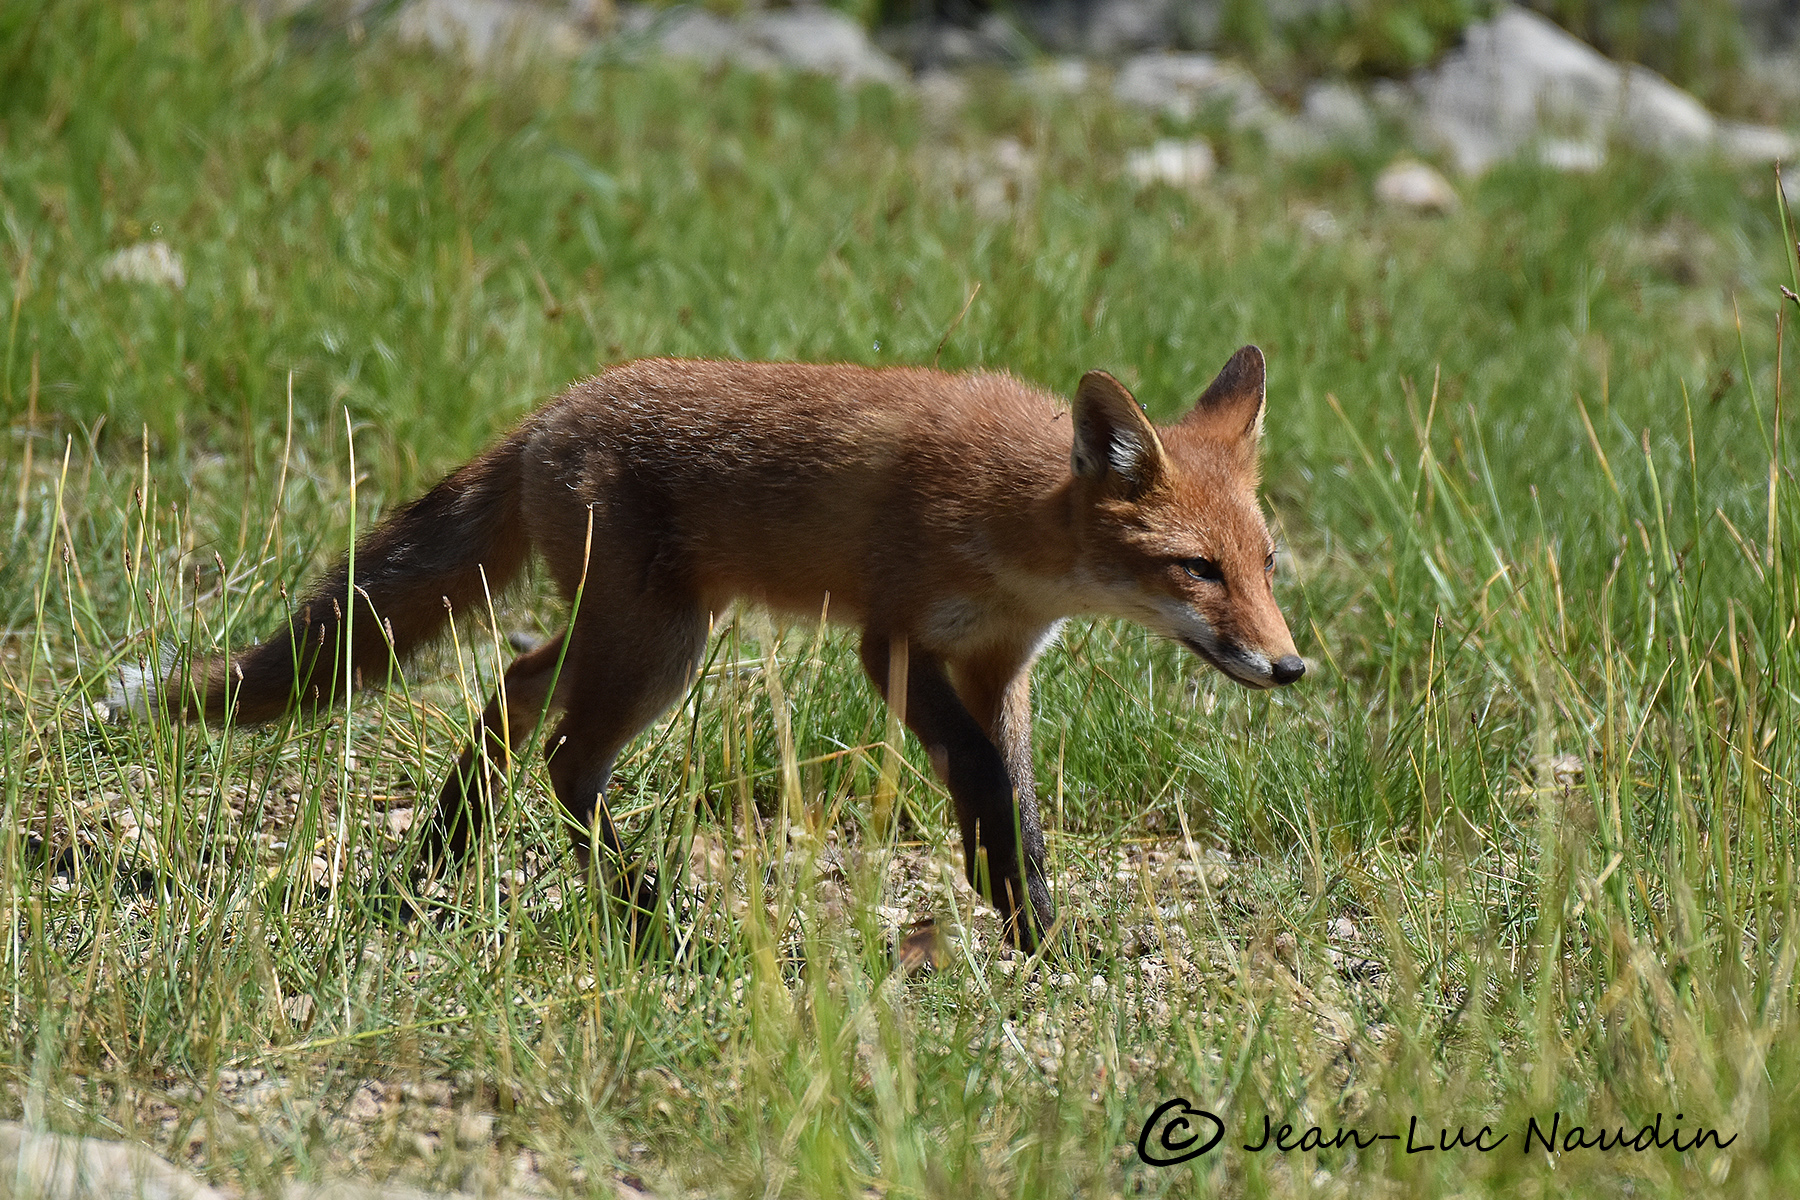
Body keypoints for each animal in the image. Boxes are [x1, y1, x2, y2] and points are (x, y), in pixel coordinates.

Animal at [120, 346, 1303, 950]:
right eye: (1198, 570)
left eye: (1266, 564)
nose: (1290, 667)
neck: (1018, 525)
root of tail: (549, 412)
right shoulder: (894, 641)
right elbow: (974, 772)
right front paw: (1001, 890)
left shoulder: (1001, 664)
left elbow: (1018, 798)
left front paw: (1036, 920)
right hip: (661, 645)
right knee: (567, 760)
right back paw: (646, 913)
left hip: (631, 631)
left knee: (516, 688)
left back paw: (438, 859)